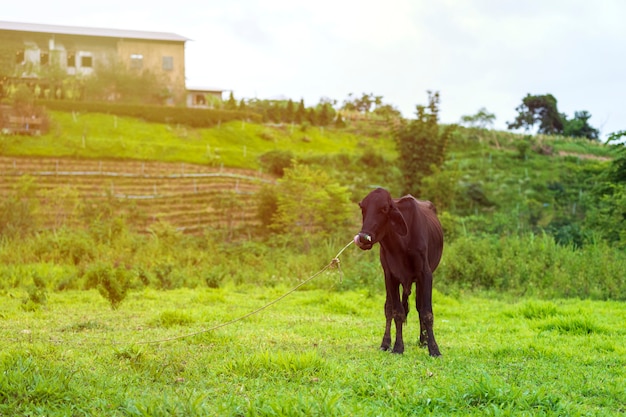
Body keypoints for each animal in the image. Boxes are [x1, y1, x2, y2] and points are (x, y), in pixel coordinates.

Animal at [354, 188, 442, 354]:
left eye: (384, 208)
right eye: (363, 208)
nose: (362, 238)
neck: (401, 244)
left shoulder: (426, 274)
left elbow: (426, 312)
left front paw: (434, 349)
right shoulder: (390, 276)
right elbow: (397, 312)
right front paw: (398, 347)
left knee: (419, 306)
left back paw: (423, 340)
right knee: (389, 308)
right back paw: (385, 343)